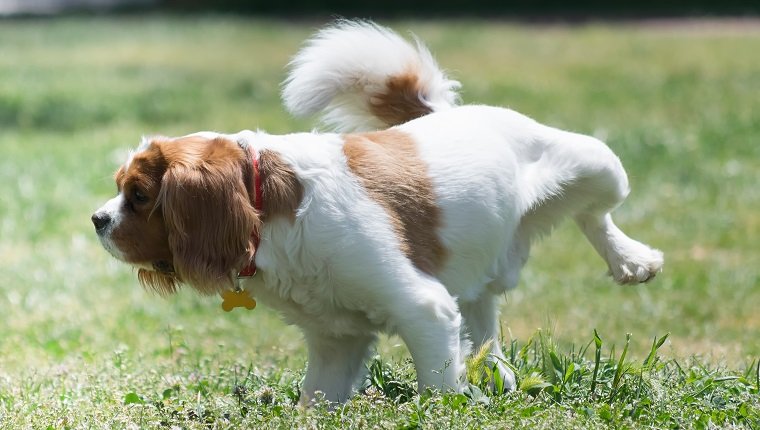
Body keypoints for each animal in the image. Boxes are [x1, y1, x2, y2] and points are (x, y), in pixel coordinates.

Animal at [89, 21, 664, 404]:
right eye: (120, 190)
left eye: (138, 195)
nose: (97, 220)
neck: (269, 212)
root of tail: (448, 114)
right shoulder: (335, 343)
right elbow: (316, 402)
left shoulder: (424, 310)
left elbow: (437, 392)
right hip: (479, 274)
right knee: (484, 323)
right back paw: (496, 377)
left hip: (597, 162)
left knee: (597, 212)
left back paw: (631, 260)